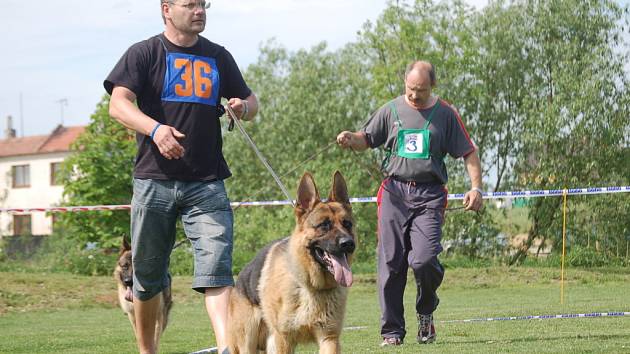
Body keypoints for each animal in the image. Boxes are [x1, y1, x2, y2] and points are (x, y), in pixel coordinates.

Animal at [227, 170, 358, 352]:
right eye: (324, 225)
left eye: (347, 224)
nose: (348, 244)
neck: (311, 287)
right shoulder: (284, 339)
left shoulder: (329, 338)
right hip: (248, 343)